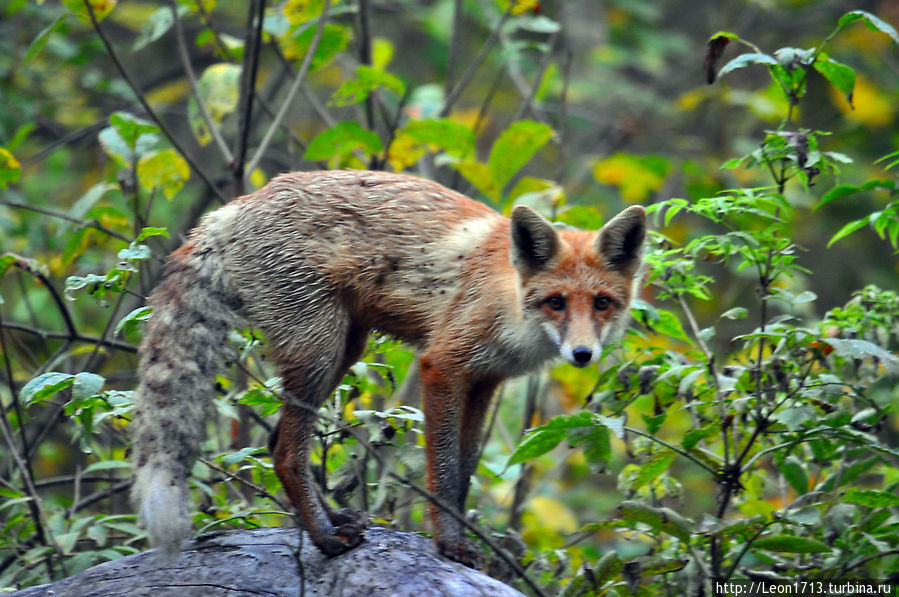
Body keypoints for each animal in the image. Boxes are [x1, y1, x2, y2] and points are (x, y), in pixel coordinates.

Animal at [130, 169, 648, 568]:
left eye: (601, 303)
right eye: (556, 303)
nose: (582, 354)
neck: (508, 305)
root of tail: (234, 207)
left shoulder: (484, 381)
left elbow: (463, 477)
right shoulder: (443, 365)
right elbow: (444, 475)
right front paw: (450, 545)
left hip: (344, 349)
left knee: (276, 440)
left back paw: (332, 520)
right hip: (319, 351)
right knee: (286, 453)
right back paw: (325, 539)